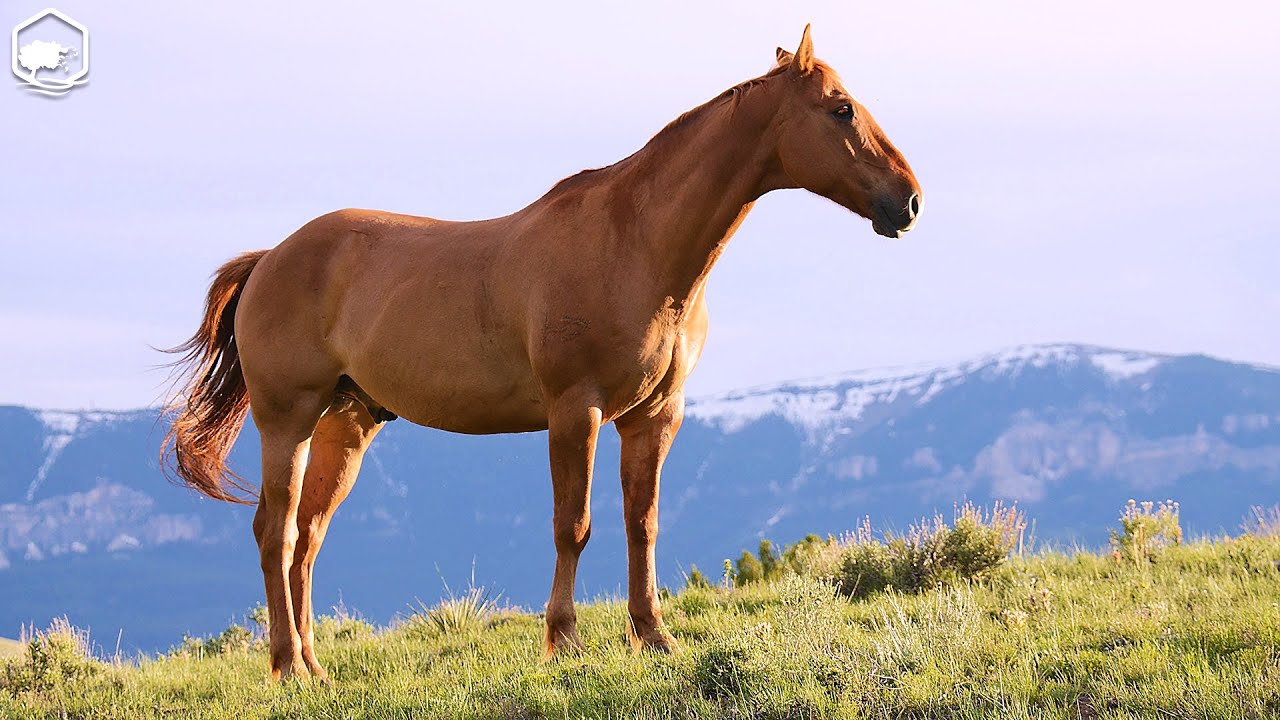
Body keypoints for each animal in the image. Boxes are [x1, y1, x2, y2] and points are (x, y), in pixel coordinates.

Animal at [164, 25, 921, 680]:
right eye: (841, 109)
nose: (909, 201)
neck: (635, 245)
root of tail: (270, 258)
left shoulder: (654, 417)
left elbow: (642, 524)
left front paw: (654, 637)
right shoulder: (574, 411)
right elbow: (573, 526)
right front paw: (564, 641)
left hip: (346, 424)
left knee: (308, 538)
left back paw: (314, 665)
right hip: (287, 418)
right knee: (276, 532)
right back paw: (288, 666)